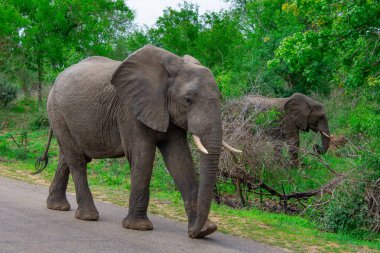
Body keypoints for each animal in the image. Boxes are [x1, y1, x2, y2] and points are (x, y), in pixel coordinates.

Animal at [35, 45, 240, 237]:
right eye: (188, 100)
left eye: (220, 97)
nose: (192, 233)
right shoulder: (129, 110)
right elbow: (143, 155)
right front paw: (139, 227)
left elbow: (180, 159)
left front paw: (206, 231)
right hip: (57, 112)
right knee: (77, 160)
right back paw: (88, 216)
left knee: (66, 156)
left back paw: (58, 207)